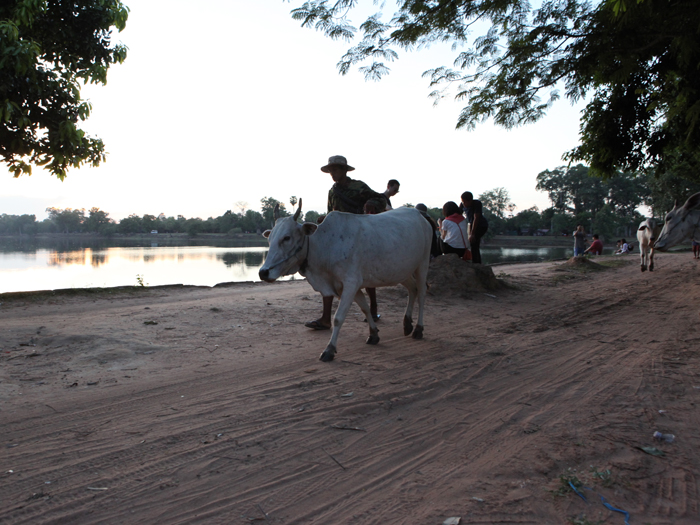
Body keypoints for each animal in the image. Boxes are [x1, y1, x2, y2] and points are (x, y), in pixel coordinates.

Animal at [258, 200, 432, 362]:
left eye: (286, 237)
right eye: (269, 239)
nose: (263, 272)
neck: (325, 245)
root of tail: (419, 215)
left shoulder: (351, 283)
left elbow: (338, 318)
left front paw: (329, 350)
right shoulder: (346, 286)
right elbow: (365, 308)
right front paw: (374, 334)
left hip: (422, 264)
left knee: (422, 292)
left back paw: (418, 329)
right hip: (401, 271)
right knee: (413, 289)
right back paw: (407, 324)